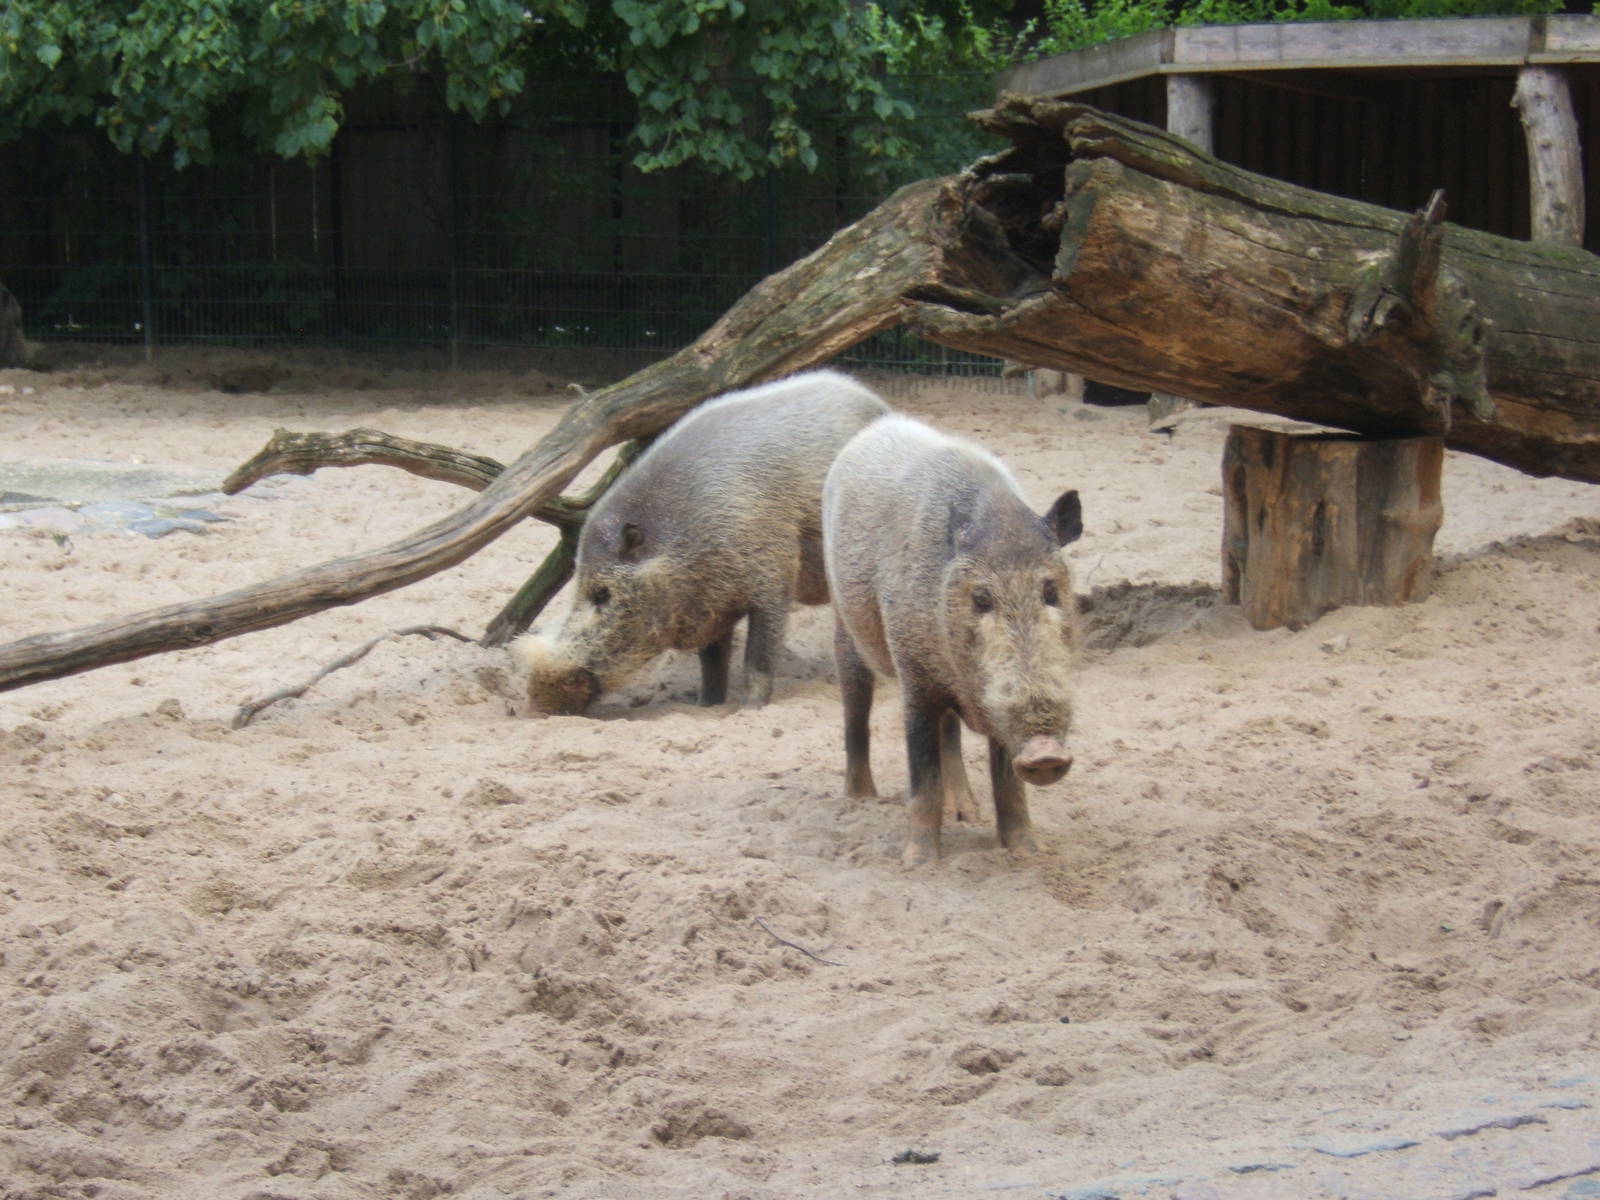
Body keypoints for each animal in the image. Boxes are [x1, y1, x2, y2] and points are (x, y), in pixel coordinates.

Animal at [511, 370, 889, 714]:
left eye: (602, 594)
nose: (540, 700)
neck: (687, 540)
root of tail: (881, 406)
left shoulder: (774, 578)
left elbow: (759, 656)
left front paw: (749, 710)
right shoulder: (713, 607)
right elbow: (711, 662)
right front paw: (706, 705)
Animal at [822, 413, 1083, 865]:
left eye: (1050, 592)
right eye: (980, 598)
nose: (1045, 751)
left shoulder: (993, 705)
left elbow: (1008, 785)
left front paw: (1028, 852)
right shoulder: (914, 676)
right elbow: (922, 774)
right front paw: (918, 863)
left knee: (951, 733)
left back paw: (967, 811)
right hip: (843, 617)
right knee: (855, 705)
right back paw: (861, 799)